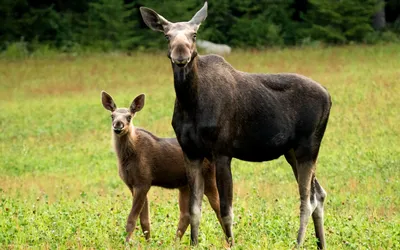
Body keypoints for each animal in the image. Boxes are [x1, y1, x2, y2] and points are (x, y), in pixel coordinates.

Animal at [101, 91, 222, 242]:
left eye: (129, 116)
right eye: (112, 115)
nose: (118, 125)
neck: (126, 157)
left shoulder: (143, 182)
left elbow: (132, 220)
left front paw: (126, 243)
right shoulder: (133, 185)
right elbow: (144, 220)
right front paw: (148, 243)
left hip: (209, 178)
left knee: (219, 208)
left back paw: (229, 243)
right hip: (185, 185)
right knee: (186, 215)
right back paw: (176, 242)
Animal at [140, 1, 332, 248]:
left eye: (194, 35)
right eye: (167, 35)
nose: (180, 54)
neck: (190, 102)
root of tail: (329, 96)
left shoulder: (222, 151)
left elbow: (226, 210)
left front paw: (231, 243)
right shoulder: (190, 152)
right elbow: (194, 210)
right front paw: (194, 243)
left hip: (308, 147)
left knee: (307, 199)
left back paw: (298, 243)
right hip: (291, 152)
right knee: (319, 194)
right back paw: (321, 243)